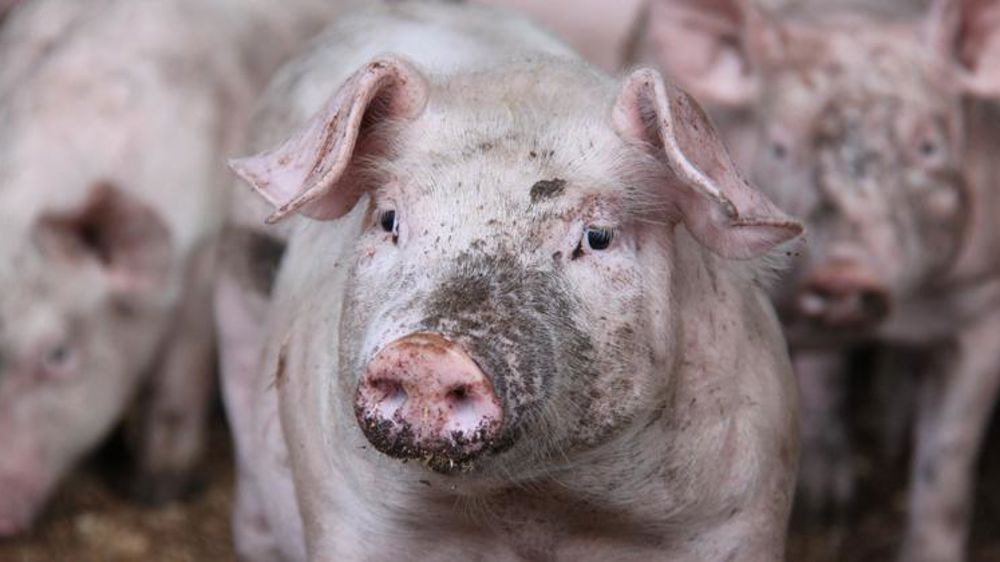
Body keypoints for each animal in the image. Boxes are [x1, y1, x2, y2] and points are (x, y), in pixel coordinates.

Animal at [216, 2, 804, 560]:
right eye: (389, 219)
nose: (427, 353)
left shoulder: (738, 514)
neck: (531, 505)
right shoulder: (349, 520)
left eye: (598, 237)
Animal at [645, 0, 1000, 559]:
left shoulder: (984, 302)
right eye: (779, 146)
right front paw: (819, 504)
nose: (843, 273)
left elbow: (947, 463)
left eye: (928, 147)